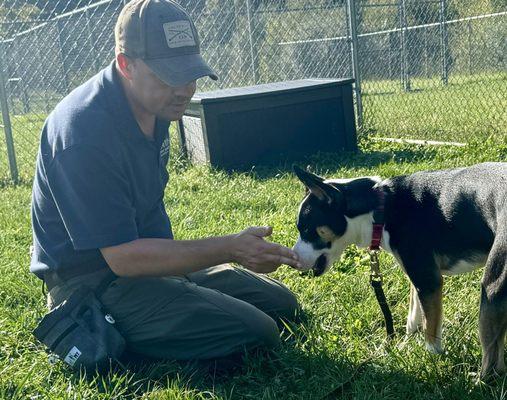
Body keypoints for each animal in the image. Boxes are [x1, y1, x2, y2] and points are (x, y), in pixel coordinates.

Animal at [292, 162, 507, 378]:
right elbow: (413, 316)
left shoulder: (428, 281)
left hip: (491, 290)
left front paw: (431, 359)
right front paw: (404, 346)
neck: (381, 207)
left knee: (492, 359)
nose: (294, 261)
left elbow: (431, 328)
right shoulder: (417, 278)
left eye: (306, 229)